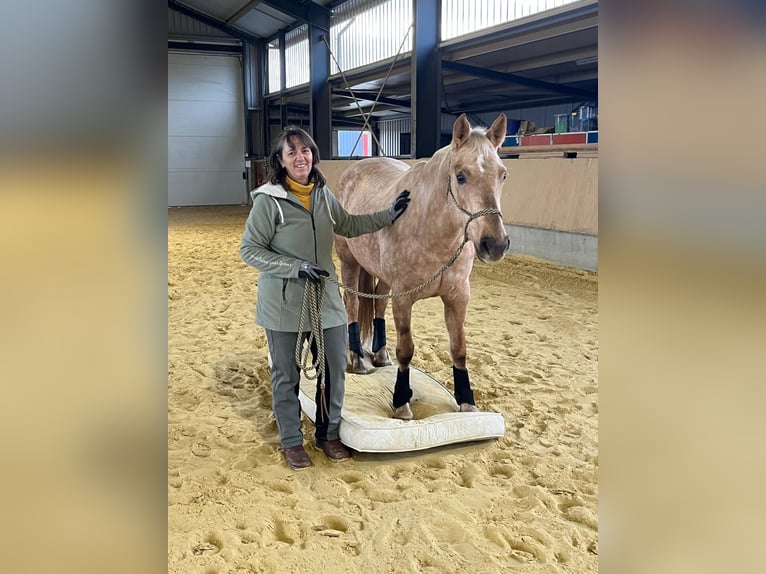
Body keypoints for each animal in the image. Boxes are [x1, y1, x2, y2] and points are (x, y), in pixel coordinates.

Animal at [334, 113, 510, 420]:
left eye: (503, 174)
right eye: (461, 176)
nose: (495, 245)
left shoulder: (457, 296)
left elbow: (459, 348)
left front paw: (467, 401)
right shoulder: (404, 300)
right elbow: (406, 349)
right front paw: (401, 402)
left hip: (383, 277)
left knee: (378, 302)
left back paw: (380, 354)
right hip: (349, 263)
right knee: (353, 305)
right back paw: (358, 360)